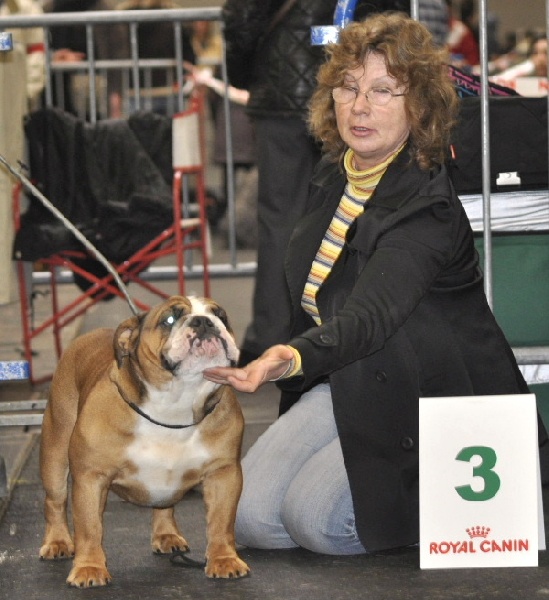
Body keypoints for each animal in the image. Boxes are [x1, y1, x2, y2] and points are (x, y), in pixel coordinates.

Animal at [39, 295, 250, 587]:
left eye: (220, 316)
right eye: (169, 319)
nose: (204, 322)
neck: (176, 402)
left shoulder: (224, 474)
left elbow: (221, 522)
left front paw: (223, 559)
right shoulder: (91, 477)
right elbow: (89, 527)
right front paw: (89, 568)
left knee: (164, 505)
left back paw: (167, 535)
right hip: (55, 453)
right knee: (55, 501)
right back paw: (58, 542)